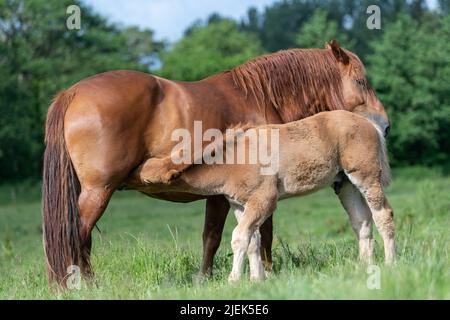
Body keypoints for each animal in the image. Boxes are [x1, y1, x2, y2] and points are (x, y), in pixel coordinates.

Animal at [41, 40, 390, 284]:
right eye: (361, 82)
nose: (384, 125)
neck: (258, 97)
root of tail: (72, 94)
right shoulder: (240, 193)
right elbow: (254, 233)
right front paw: (264, 272)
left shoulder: (226, 195)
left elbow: (216, 237)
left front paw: (208, 277)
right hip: (98, 191)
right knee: (78, 235)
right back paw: (83, 283)